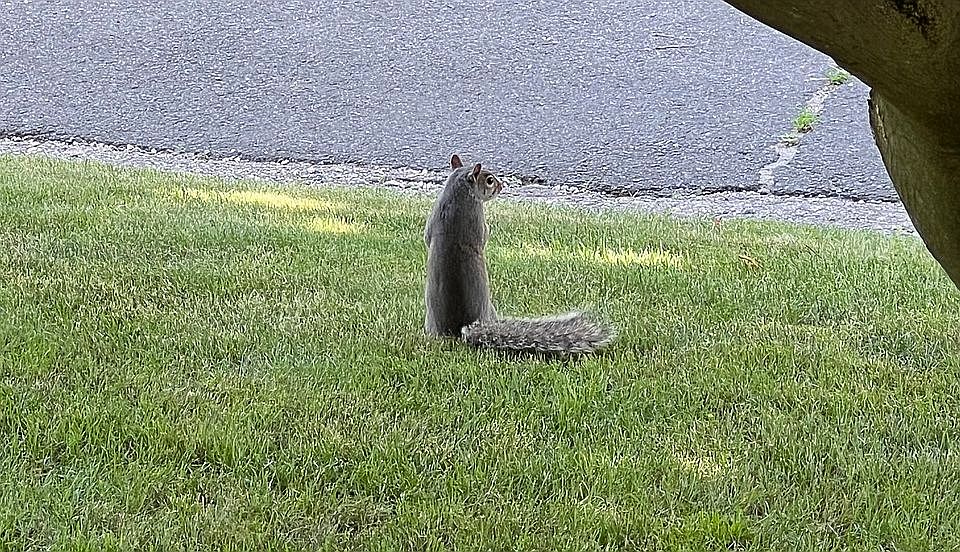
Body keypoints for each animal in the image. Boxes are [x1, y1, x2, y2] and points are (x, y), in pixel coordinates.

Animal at [423, 154, 615, 355]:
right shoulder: (476, 216)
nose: (501, 186)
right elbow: (483, 236)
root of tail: (458, 330)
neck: (458, 191)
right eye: (489, 180)